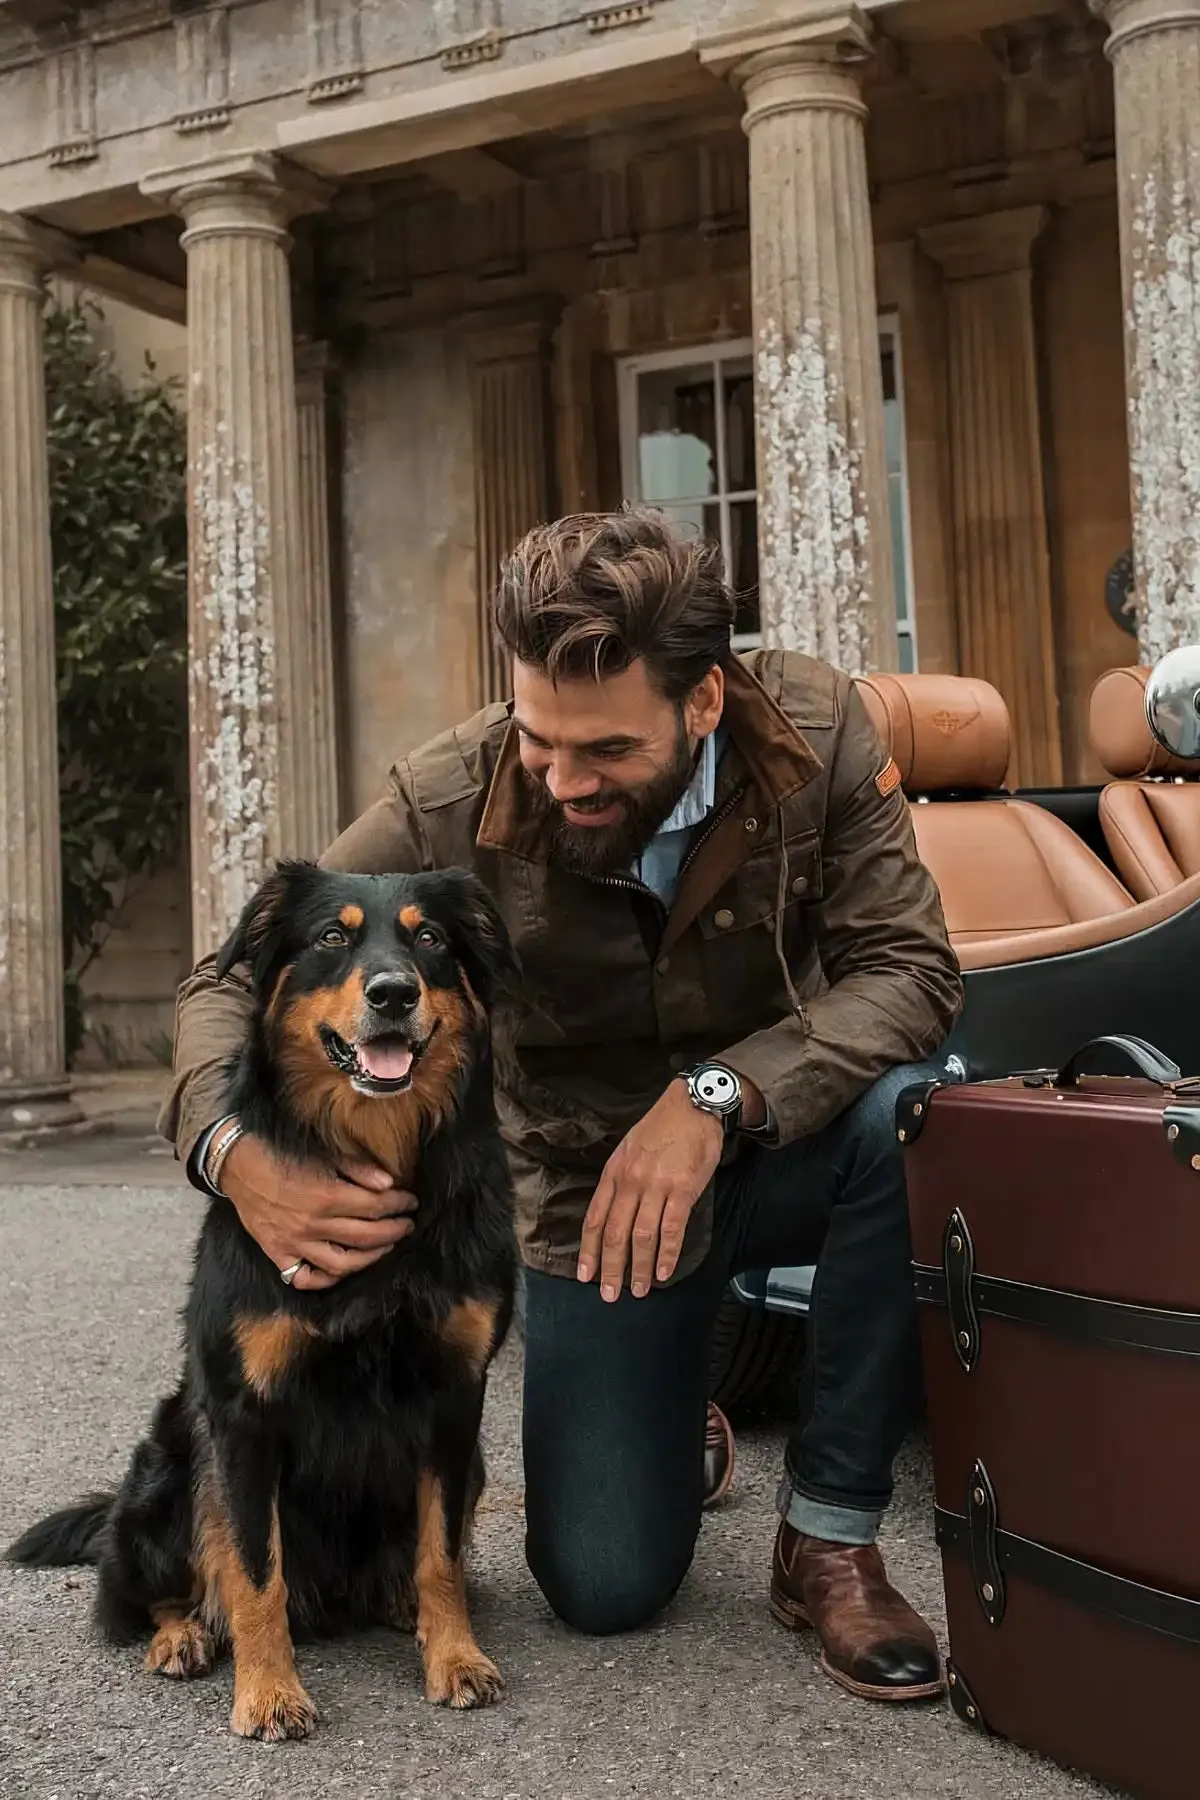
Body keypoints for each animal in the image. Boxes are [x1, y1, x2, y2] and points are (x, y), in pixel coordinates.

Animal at [7, 864, 521, 1735]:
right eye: (332, 937)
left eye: (429, 938)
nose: (393, 993)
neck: (377, 1149)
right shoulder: (245, 1414)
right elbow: (254, 1570)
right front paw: (270, 1692)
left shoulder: (457, 1400)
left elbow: (441, 1552)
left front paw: (454, 1655)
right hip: (171, 1463)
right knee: (143, 1588)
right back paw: (181, 1635)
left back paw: (396, 1604)